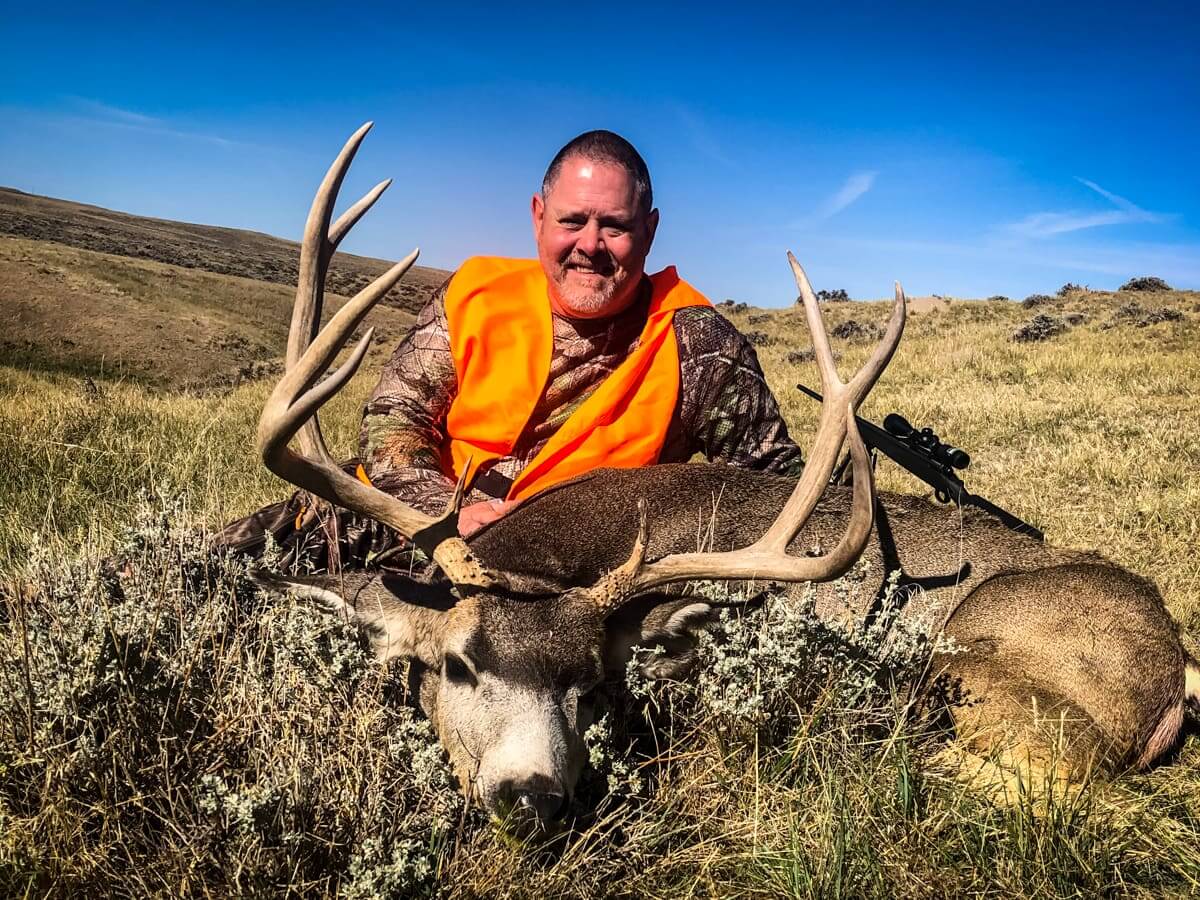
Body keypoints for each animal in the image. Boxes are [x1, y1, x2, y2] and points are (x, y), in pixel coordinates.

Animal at [250, 124, 1199, 832]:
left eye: (591, 684)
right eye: (454, 666)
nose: (534, 799)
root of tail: (1175, 661)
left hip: (978, 661)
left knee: (1052, 776)